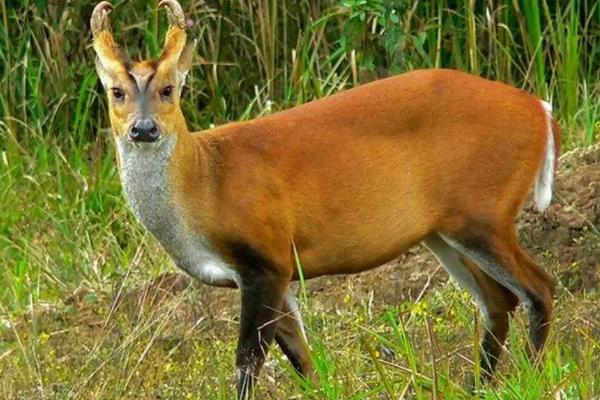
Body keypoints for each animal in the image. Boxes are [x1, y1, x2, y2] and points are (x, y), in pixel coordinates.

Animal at [91, 0, 560, 396]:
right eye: (116, 92)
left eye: (169, 89)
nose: (144, 129)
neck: (205, 183)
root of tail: (541, 111)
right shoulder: (271, 271)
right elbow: (302, 361)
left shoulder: (266, 257)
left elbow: (248, 362)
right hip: (444, 231)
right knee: (500, 301)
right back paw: (478, 386)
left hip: (483, 211)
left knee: (540, 287)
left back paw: (532, 378)